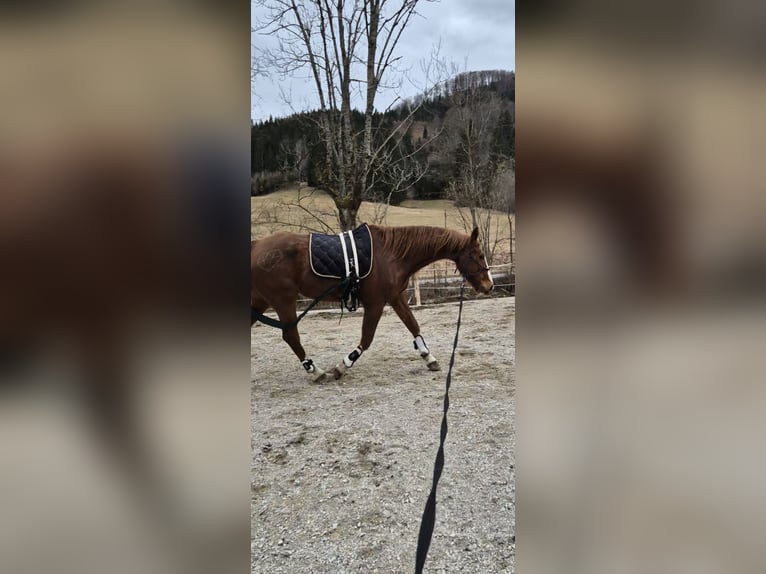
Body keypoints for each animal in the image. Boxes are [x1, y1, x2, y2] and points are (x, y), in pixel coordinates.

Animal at [249, 225, 496, 382]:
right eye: (479, 255)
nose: (489, 286)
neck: (391, 255)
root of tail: (256, 245)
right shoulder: (375, 303)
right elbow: (367, 339)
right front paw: (342, 367)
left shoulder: (395, 297)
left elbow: (413, 326)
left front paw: (429, 357)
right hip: (283, 300)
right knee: (291, 336)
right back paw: (317, 371)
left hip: (261, 301)